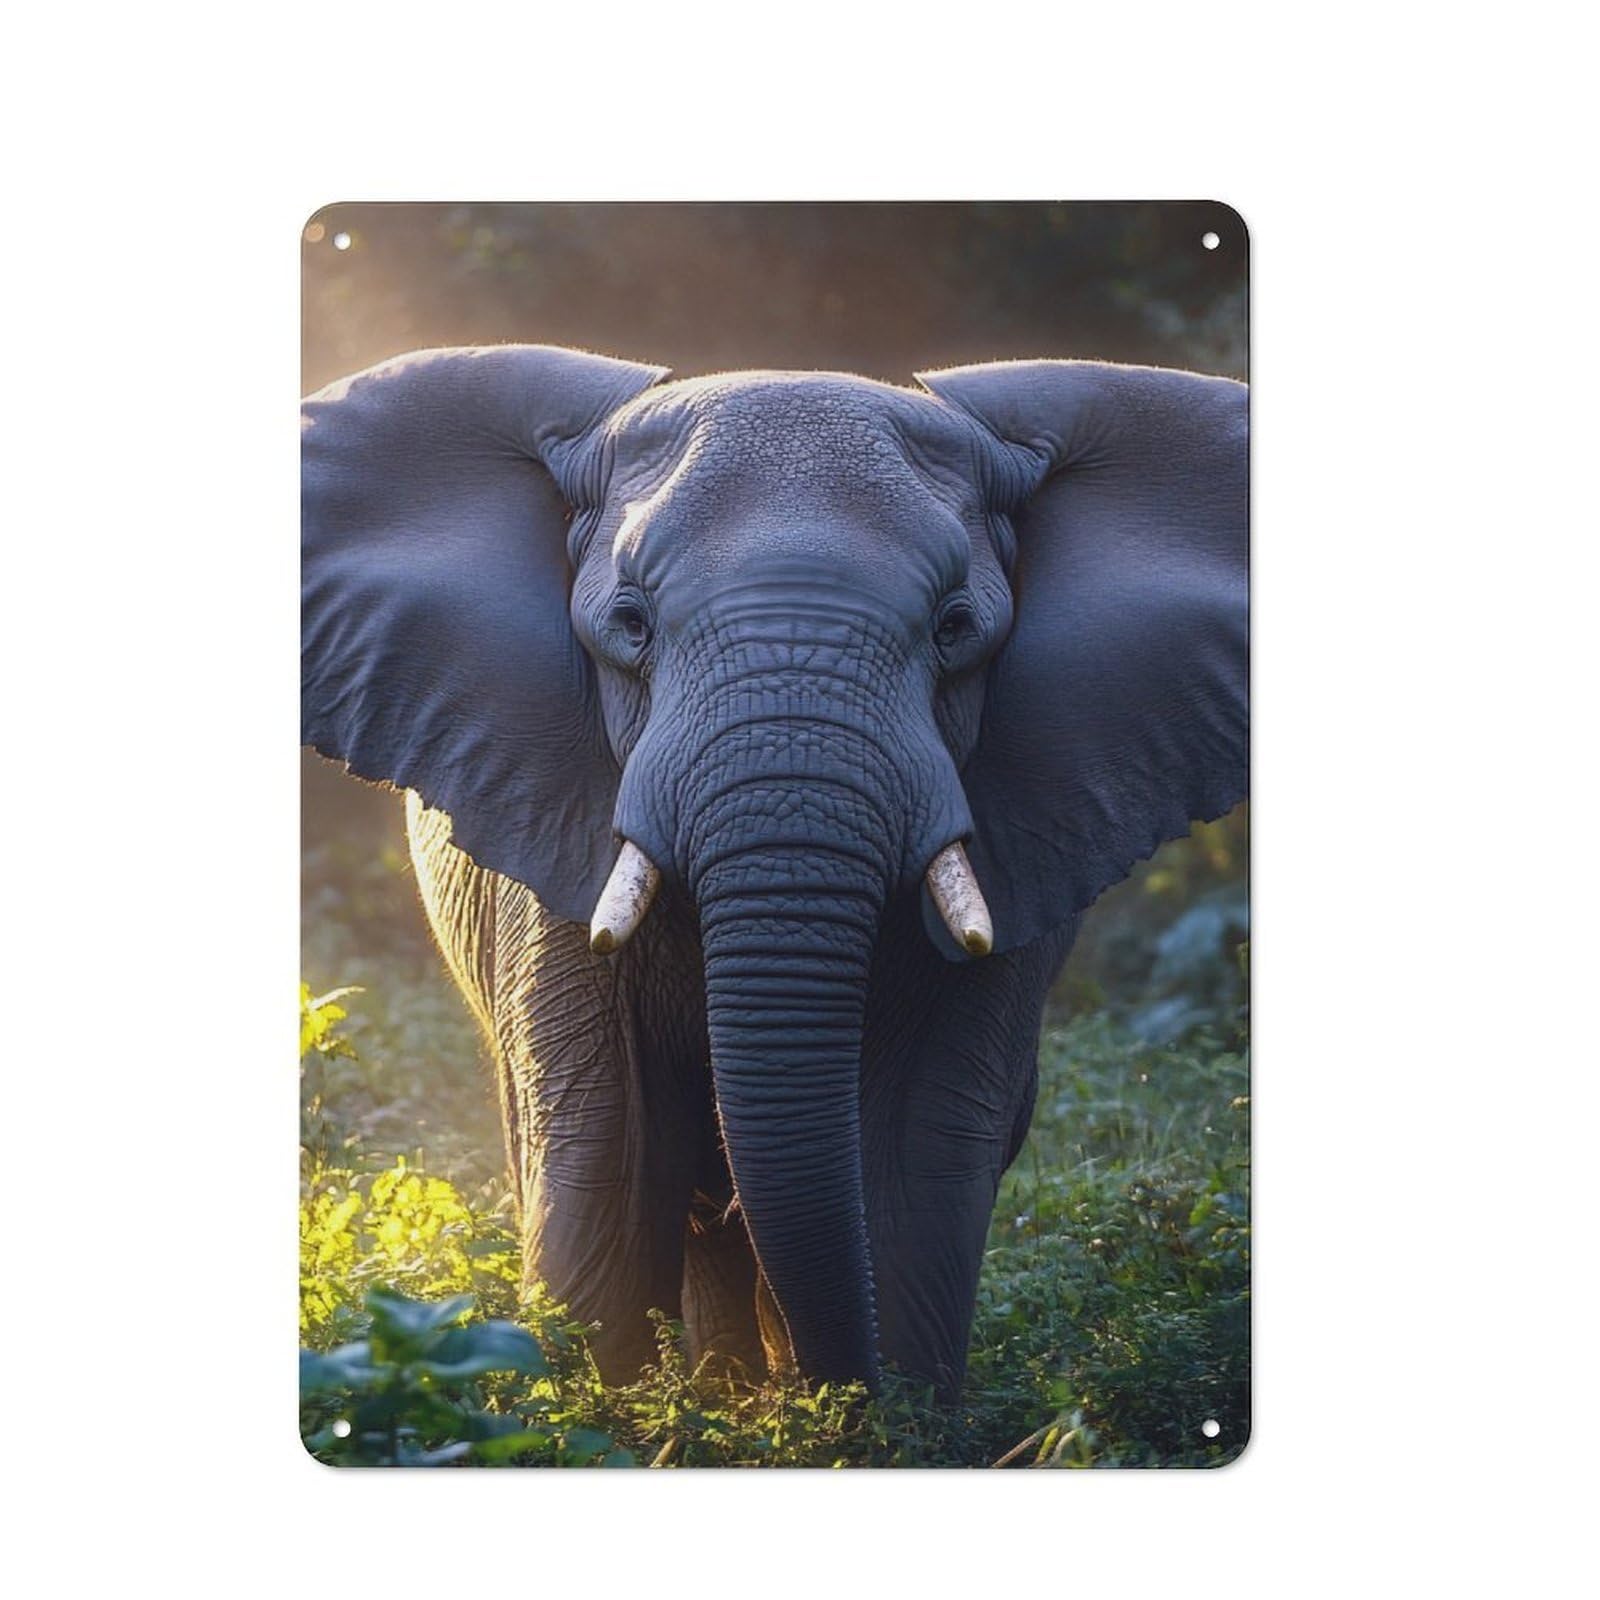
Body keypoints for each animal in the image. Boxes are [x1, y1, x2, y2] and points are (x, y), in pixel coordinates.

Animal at [301, 344, 1247, 1399]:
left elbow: (918, 1159)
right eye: (630, 624)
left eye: (957, 627)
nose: (840, 1392)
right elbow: (605, 1160)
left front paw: (882, 1419)